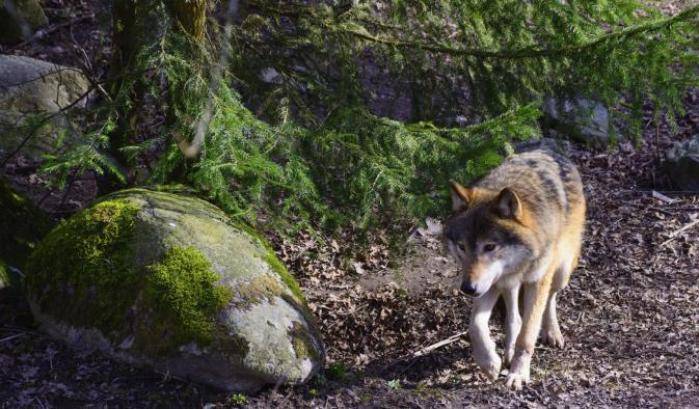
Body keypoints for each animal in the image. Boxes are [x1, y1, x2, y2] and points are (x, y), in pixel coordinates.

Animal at [446, 149, 588, 388]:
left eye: (490, 246)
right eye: (462, 246)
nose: (467, 289)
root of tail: (547, 149)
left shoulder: (537, 281)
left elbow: (527, 335)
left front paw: (519, 374)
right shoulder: (491, 283)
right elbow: (475, 325)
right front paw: (489, 364)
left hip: (561, 271)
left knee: (550, 298)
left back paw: (552, 332)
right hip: (506, 284)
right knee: (514, 316)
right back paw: (508, 351)